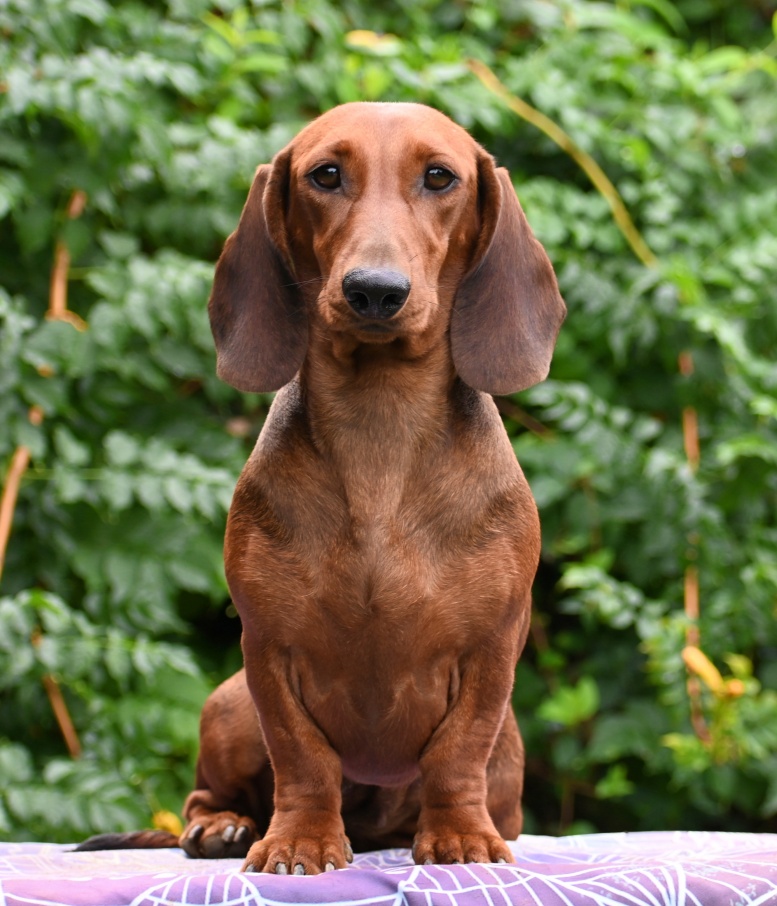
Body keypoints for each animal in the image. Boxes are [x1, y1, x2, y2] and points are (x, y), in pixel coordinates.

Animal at [78, 102, 565, 874]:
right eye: (326, 175)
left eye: (440, 177)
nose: (374, 291)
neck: (379, 426)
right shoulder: (268, 652)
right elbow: (302, 756)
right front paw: (299, 841)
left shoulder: (492, 649)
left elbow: (458, 748)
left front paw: (459, 836)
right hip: (228, 704)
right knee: (204, 796)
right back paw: (224, 827)